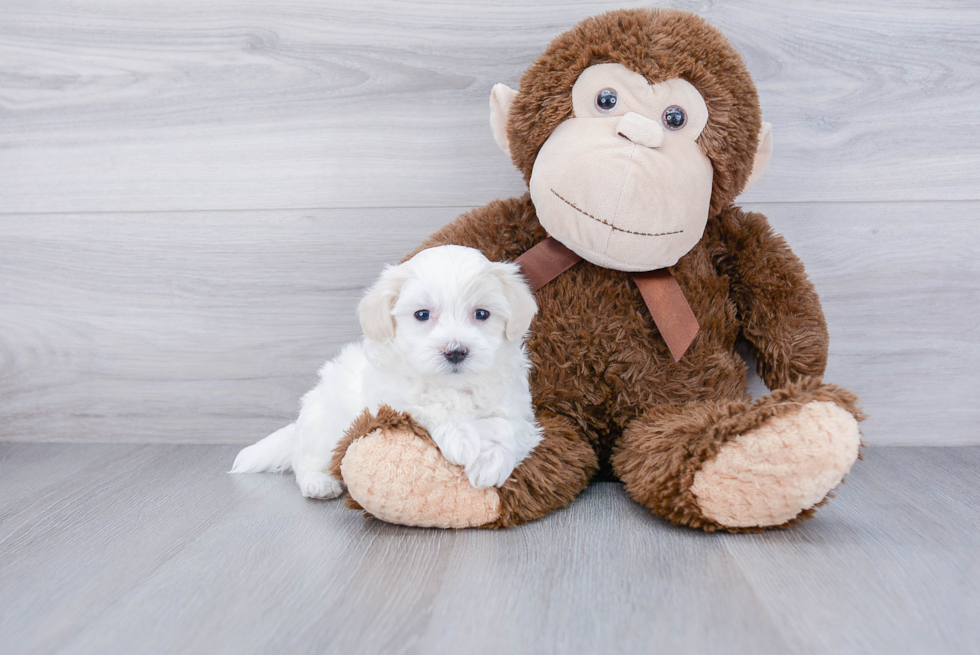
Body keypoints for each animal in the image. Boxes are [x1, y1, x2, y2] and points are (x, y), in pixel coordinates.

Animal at [231, 245, 544, 498]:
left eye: (481, 314)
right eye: (422, 315)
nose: (455, 350)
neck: (451, 385)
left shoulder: (513, 404)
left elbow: (505, 425)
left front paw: (490, 463)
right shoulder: (394, 401)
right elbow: (431, 407)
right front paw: (462, 440)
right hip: (324, 426)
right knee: (305, 460)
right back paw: (319, 484)